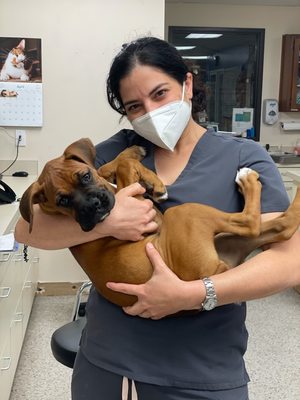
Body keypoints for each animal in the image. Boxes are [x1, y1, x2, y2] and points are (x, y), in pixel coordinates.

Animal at [19, 138, 300, 310]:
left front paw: (134, 156)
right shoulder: (134, 203)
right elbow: (125, 166)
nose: (93, 207)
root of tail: (214, 274)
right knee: (252, 223)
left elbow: (114, 163)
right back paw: (250, 181)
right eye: (63, 200)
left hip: (228, 239)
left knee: (281, 226)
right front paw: (154, 183)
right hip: (186, 214)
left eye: (86, 176)